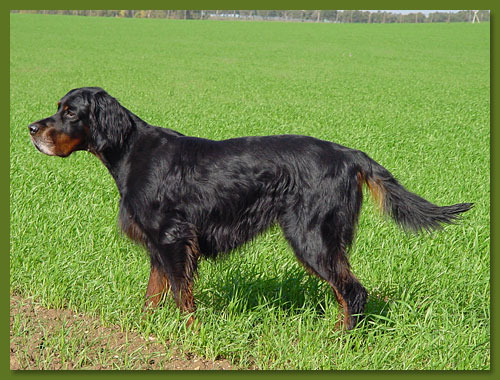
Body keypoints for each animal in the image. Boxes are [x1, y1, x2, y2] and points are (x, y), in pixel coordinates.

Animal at [28, 87, 472, 330]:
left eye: (71, 112)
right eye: (58, 106)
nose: (32, 128)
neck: (132, 151)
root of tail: (349, 155)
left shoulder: (173, 238)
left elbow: (182, 296)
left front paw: (191, 334)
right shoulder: (159, 244)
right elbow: (155, 294)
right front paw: (144, 330)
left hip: (311, 236)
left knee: (353, 292)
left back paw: (341, 341)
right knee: (346, 292)